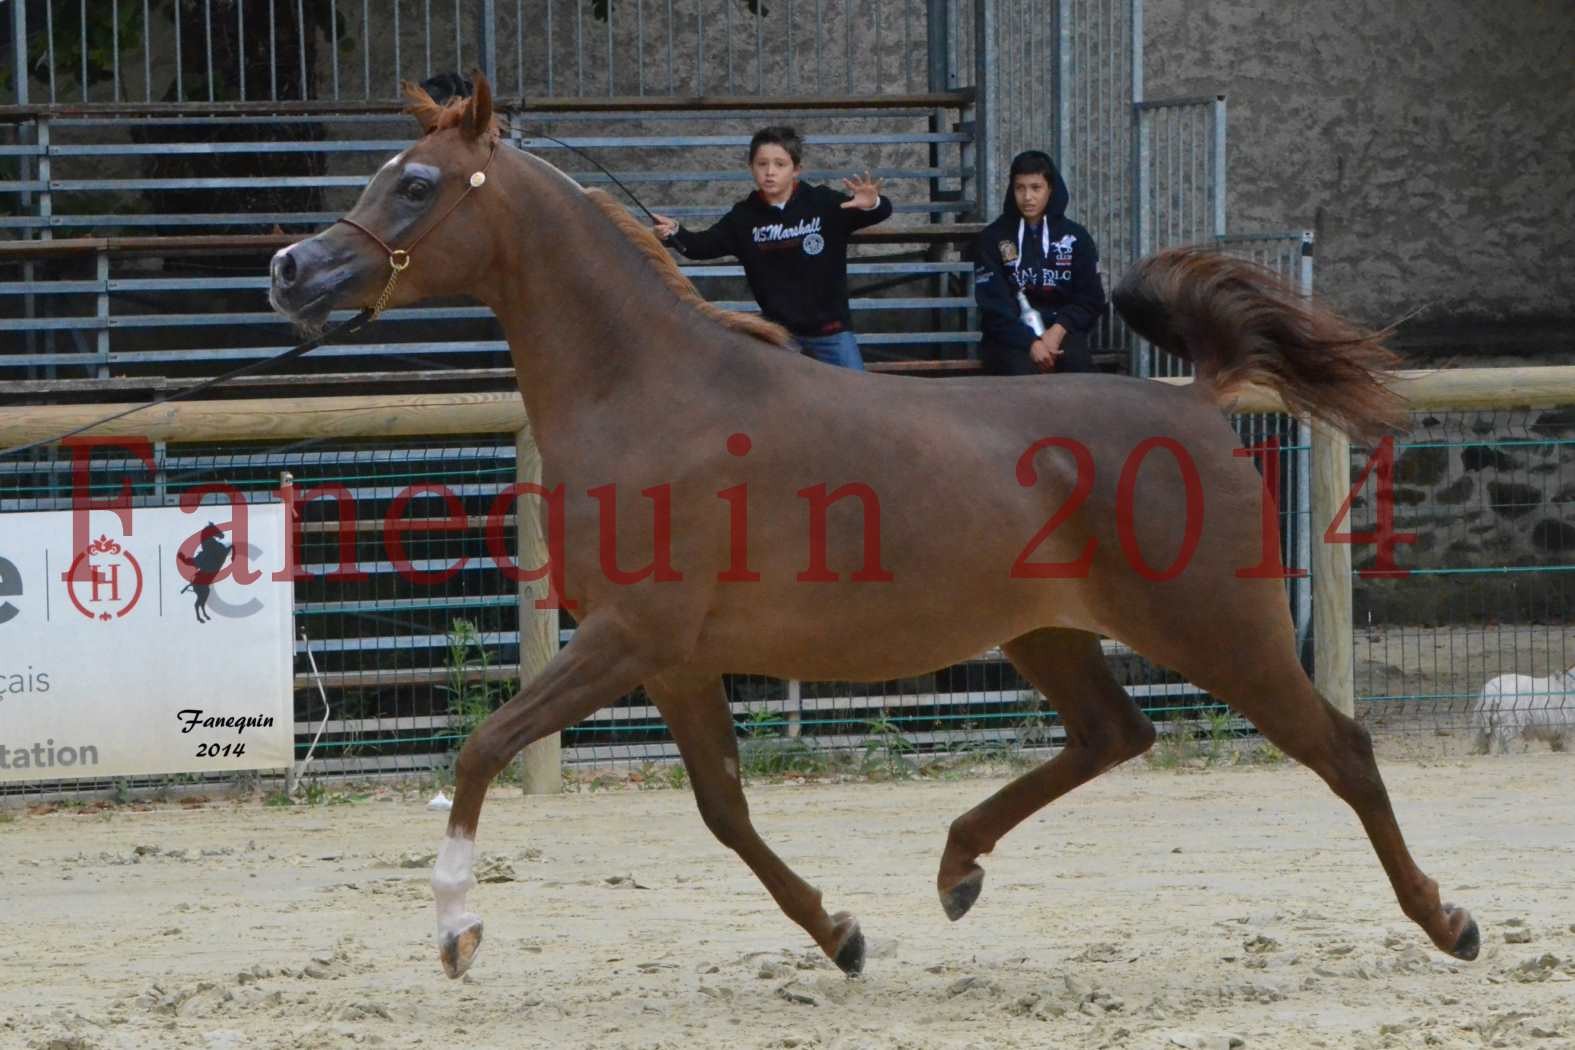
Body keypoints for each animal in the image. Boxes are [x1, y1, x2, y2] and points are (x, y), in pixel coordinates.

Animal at [264, 77, 1480, 982]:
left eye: (417, 183)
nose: (291, 270)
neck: (651, 392)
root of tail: (1194, 400)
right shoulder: (674, 661)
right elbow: (725, 810)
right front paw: (843, 937)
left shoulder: (627, 640)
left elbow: (482, 748)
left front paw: (456, 931)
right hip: (1047, 633)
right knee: (1114, 734)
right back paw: (955, 869)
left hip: (1219, 630)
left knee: (1341, 750)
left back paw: (1448, 922)